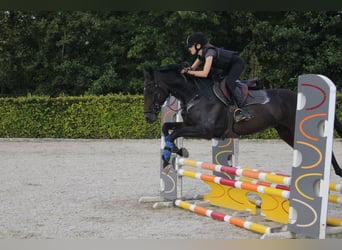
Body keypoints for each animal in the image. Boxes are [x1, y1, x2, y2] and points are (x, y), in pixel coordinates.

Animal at [142, 64, 342, 178]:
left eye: (151, 88)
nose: (148, 117)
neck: (195, 95)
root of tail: (296, 95)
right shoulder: (191, 125)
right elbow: (167, 129)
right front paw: (174, 153)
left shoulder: (206, 130)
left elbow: (174, 133)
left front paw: (170, 157)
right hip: (285, 132)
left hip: (294, 129)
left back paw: (336, 172)